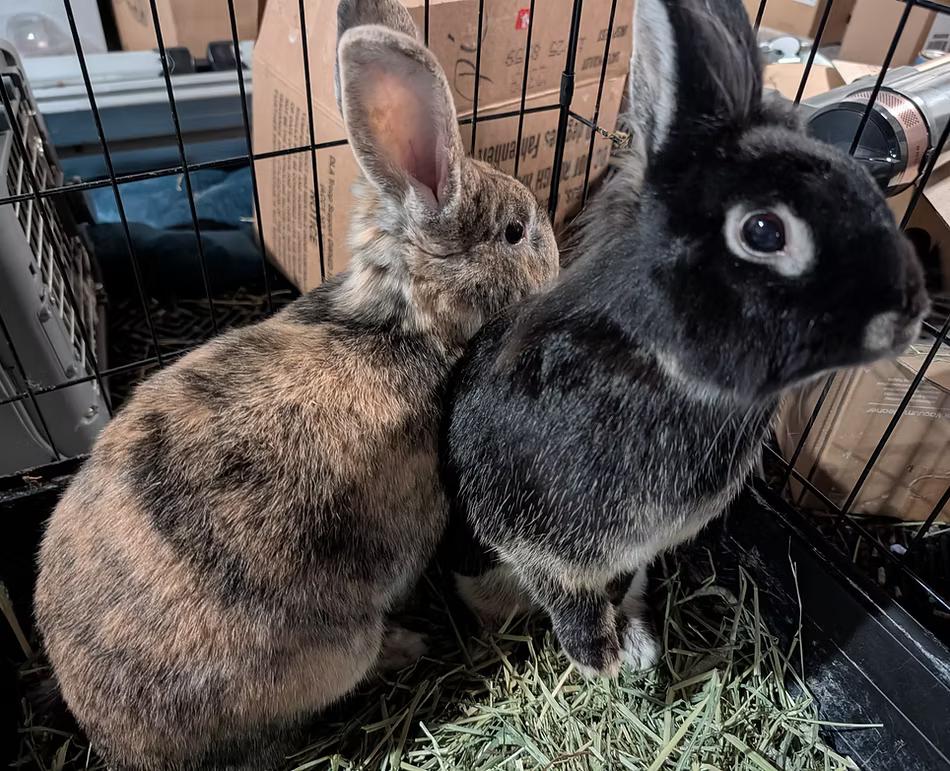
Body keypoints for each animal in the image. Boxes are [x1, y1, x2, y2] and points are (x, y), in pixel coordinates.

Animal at [33, 1, 558, 768]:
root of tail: (116, 740)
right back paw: (405, 645)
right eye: (516, 232)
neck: (402, 323)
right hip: (337, 649)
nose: (554, 248)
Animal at [440, 0, 930, 679]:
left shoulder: (637, 549)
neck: (663, 365)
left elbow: (622, 581)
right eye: (764, 231)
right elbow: (572, 599)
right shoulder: (541, 547)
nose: (909, 312)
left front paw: (634, 651)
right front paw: (601, 661)